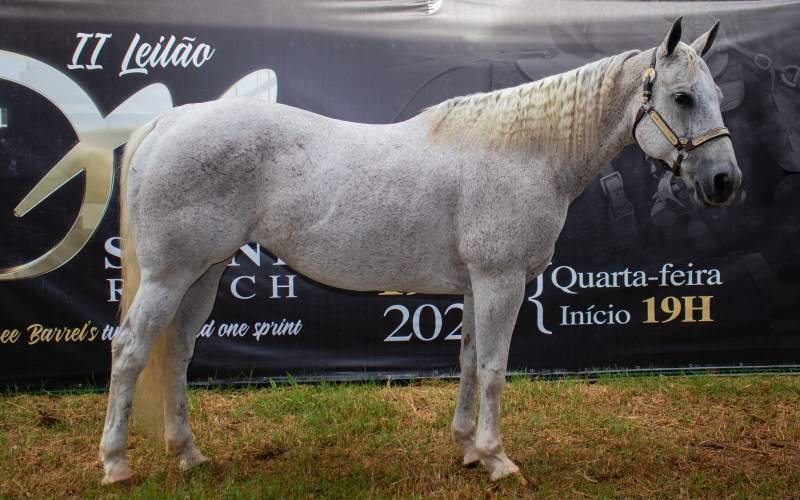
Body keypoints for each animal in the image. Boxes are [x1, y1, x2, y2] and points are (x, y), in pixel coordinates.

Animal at [99, 17, 741, 484]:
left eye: (715, 94)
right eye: (683, 98)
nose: (725, 182)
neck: (526, 153)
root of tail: (169, 123)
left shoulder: (476, 286)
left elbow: (467, 361)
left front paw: (467, 450)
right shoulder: (501, 280)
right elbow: (494, 367)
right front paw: (498, 458)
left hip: (203, 273)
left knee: (177, 352)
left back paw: (189, 454)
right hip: (169, 275)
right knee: (131, 350)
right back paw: (116, 464)